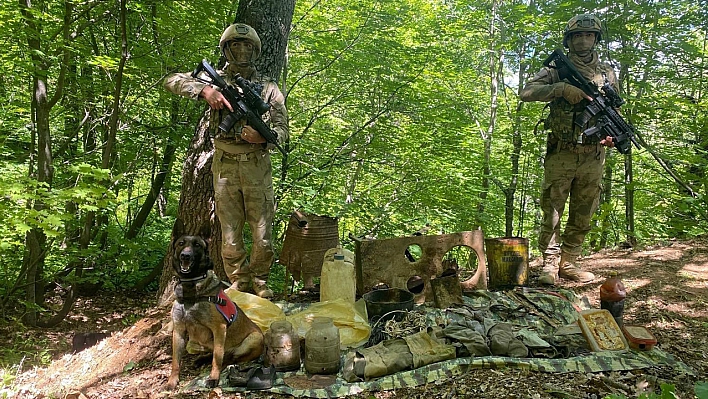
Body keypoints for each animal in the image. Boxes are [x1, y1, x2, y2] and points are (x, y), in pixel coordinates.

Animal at [167, 223, 266, 392]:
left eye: (197, 245)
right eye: (181, 243)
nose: (186, 256)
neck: (190, 288)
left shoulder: (219, 327)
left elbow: (217, 357)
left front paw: (213, 378)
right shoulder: (178, 330)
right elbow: (175, 361)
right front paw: (172, 381)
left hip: (253, 339)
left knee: (230, 358)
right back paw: (201, 359)